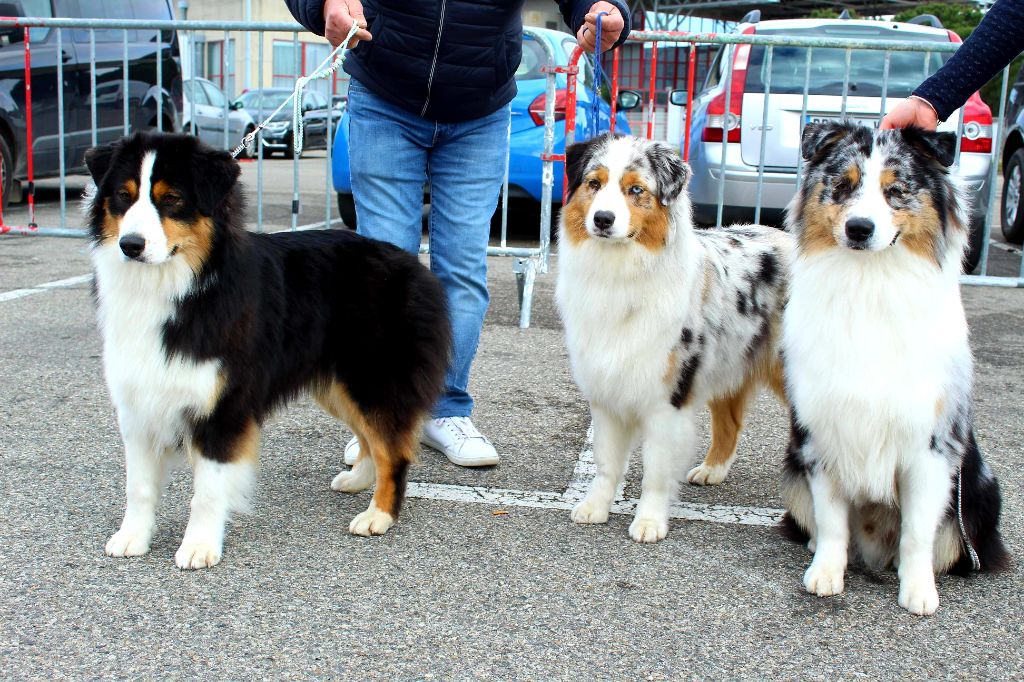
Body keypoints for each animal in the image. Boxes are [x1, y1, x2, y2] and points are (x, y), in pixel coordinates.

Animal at [89, 133, 452, 569]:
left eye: (172, 199)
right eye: (123, 197)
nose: (130, 245)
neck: (180, 287)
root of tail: (413, 263)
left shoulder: (223, 405)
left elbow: (207, 489)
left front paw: (199, 546)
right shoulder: (138, 400)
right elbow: (138, 485)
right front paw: (132, 537)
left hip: (372, 377)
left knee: (393, 449)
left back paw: (378, 515)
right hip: (337, 384)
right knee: (372, 437)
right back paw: (358, 479)